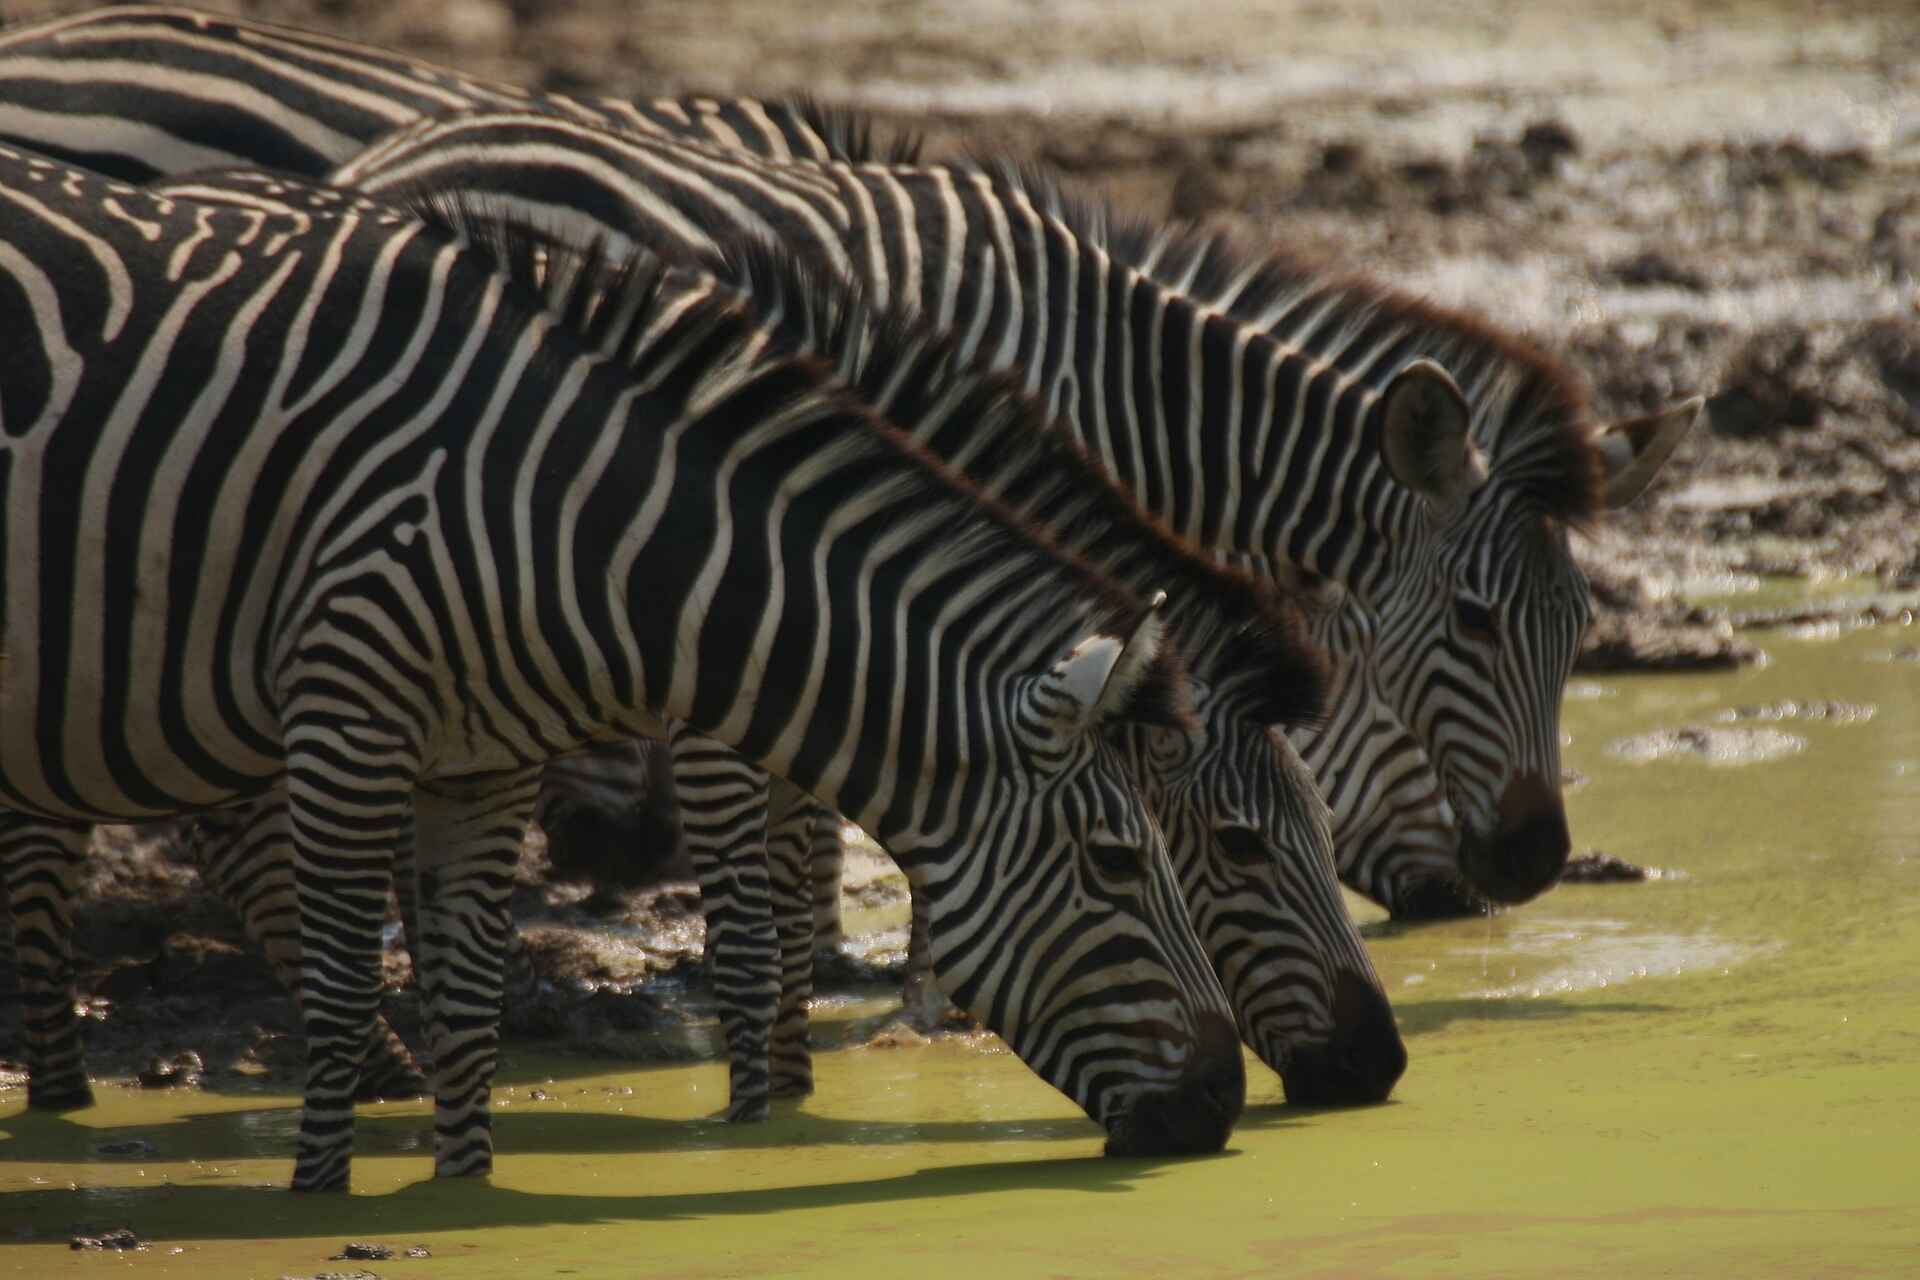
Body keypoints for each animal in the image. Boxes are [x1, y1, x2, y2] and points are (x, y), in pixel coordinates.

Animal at [0, 146, 1297, 1188]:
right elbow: (337, 981)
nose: (1225, 1105)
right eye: (1121, 860)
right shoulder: (348, 718)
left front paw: (463, 1193)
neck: (566, 521)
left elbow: (470, 998)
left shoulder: (480, 761)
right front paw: (322, 1197)